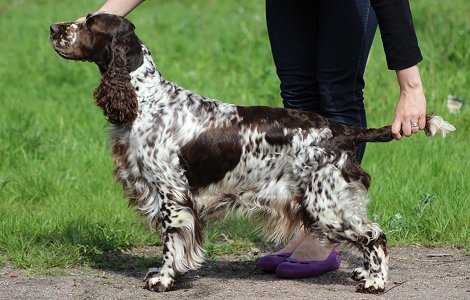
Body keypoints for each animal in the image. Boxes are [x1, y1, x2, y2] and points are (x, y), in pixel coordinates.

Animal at [49, 13, 454, 292]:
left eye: (88, 24)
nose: (54, 27)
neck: (146, 99)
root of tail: (339, 130)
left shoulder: (171, 193)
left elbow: (171, 240)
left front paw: (163, 279)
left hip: (325, 204)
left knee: (375, 236)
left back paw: (374, 282)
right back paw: (363, 273)